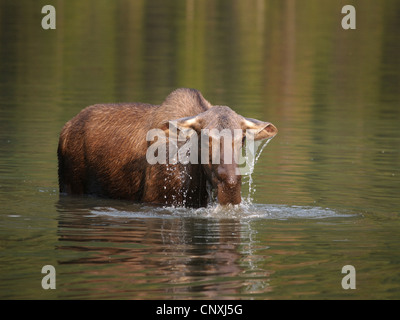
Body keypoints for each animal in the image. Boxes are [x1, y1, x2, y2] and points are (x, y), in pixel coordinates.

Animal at [57, 87, 276, 208]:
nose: (230, 186)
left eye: (243, 139)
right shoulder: (155, 199)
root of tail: (65, 129)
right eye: (205, 137)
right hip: (69, 184)